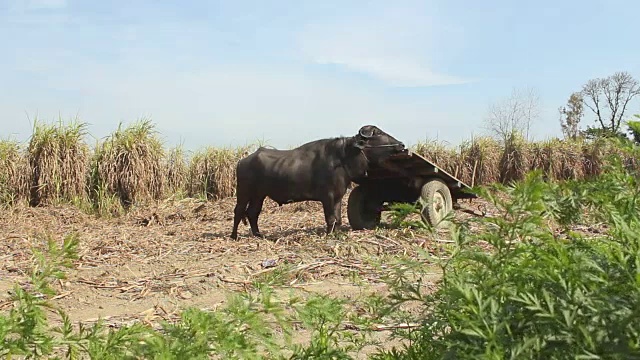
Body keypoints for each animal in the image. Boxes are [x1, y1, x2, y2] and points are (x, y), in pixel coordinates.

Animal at [230, 125, 404, 240]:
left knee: (252, 213)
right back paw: (234, 235)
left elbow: (338, 219)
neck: (342, 157)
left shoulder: (338, 197)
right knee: (239, 211)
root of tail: (243, 161)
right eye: (378, 133)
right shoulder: (327, 197)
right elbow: (330, 218)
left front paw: (336, 233)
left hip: (259, 195)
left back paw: (258, 234)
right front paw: (328, 234)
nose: (401, 144)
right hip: (243, 192)